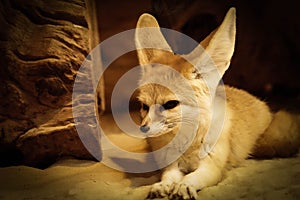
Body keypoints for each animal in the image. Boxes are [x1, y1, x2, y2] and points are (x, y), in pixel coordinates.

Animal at [135, 7, 298, 199]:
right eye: (144, 106)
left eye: (170, 104)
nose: (143, 129)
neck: (188, 145)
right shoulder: (171, 165)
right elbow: (168, 176)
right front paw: (163, 185)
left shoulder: (212, 167)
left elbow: (193, 177)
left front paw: (184, 185)